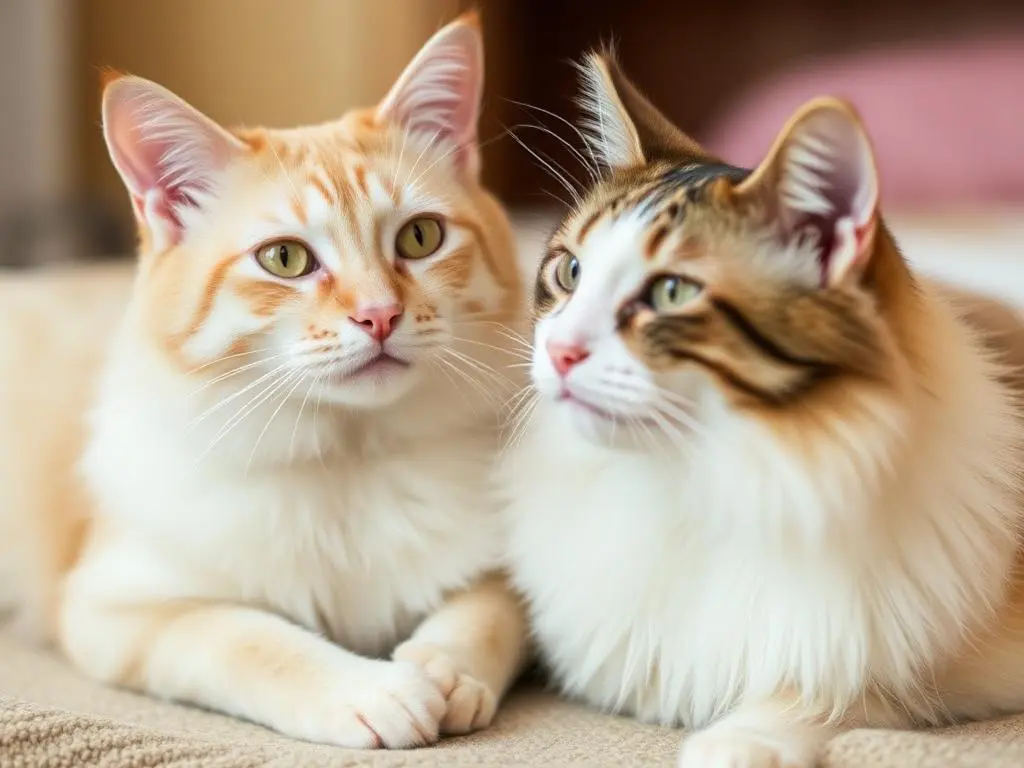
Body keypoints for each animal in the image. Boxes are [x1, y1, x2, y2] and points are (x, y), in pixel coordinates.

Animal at [0, 13, 528, 753]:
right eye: (284, 259)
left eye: (421, 238)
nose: (380, 315)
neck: (347, 459)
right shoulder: (117, 608)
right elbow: (253, 640)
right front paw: (372, 689)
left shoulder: (512, 571)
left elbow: (484, 615)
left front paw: (441, 672)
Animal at [505, 52, 1024, 768]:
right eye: (570, 272)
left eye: (671, 292)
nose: (559, 352)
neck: (693, 476)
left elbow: (832, 695)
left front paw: (736, 741)